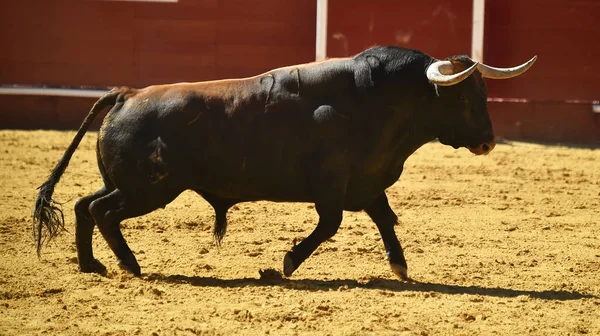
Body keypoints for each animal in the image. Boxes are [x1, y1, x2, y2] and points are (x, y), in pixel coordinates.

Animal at [32, 46, 536, 280]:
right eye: (465, 96)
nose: (488, 142)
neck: (374, 101)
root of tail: (128, 94)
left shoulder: (366, 181)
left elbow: (384, 218)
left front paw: (400, 266)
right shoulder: (333, 185)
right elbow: (330, 224)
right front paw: (286, 262)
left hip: (129, 184)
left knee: (83, 205)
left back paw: (92, 266)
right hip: (150, 189)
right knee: (101, 211)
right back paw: (129, 265)